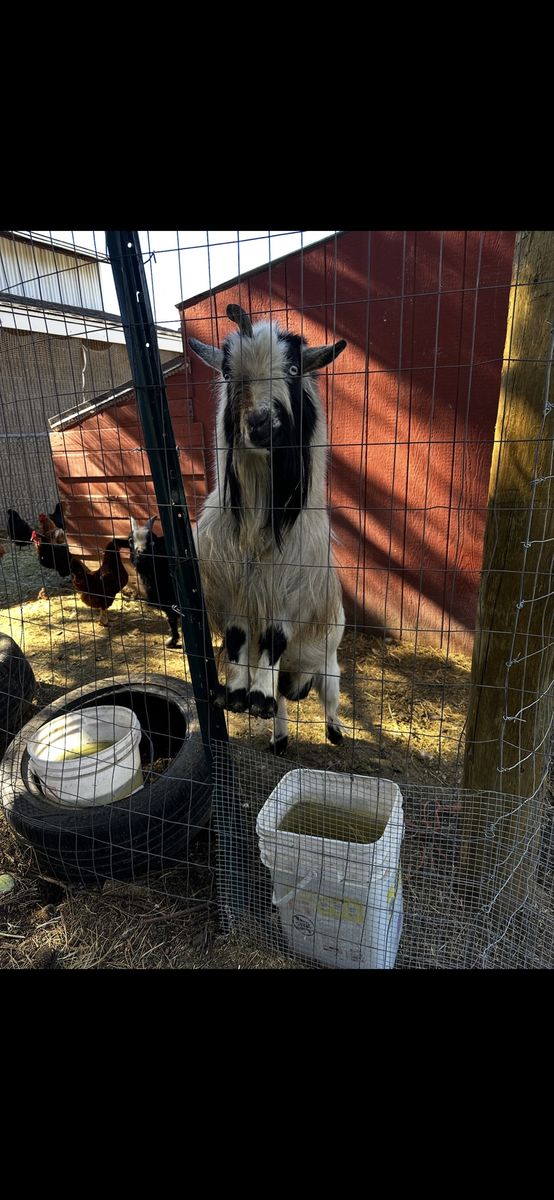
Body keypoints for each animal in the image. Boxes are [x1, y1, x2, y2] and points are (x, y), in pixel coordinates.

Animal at [188, 303, 347, 755]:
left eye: (292, 369)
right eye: (228, 371)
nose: (260, 424)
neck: (258, 523)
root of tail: (300, 680)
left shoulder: (287, 594)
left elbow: (273, 640)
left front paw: (254, 694)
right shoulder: (235, 589)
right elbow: (239, 639)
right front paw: (237, 695)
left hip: (329, 661)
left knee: (329, 696)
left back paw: (335, 733)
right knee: (284, 702)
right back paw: (278, 735)